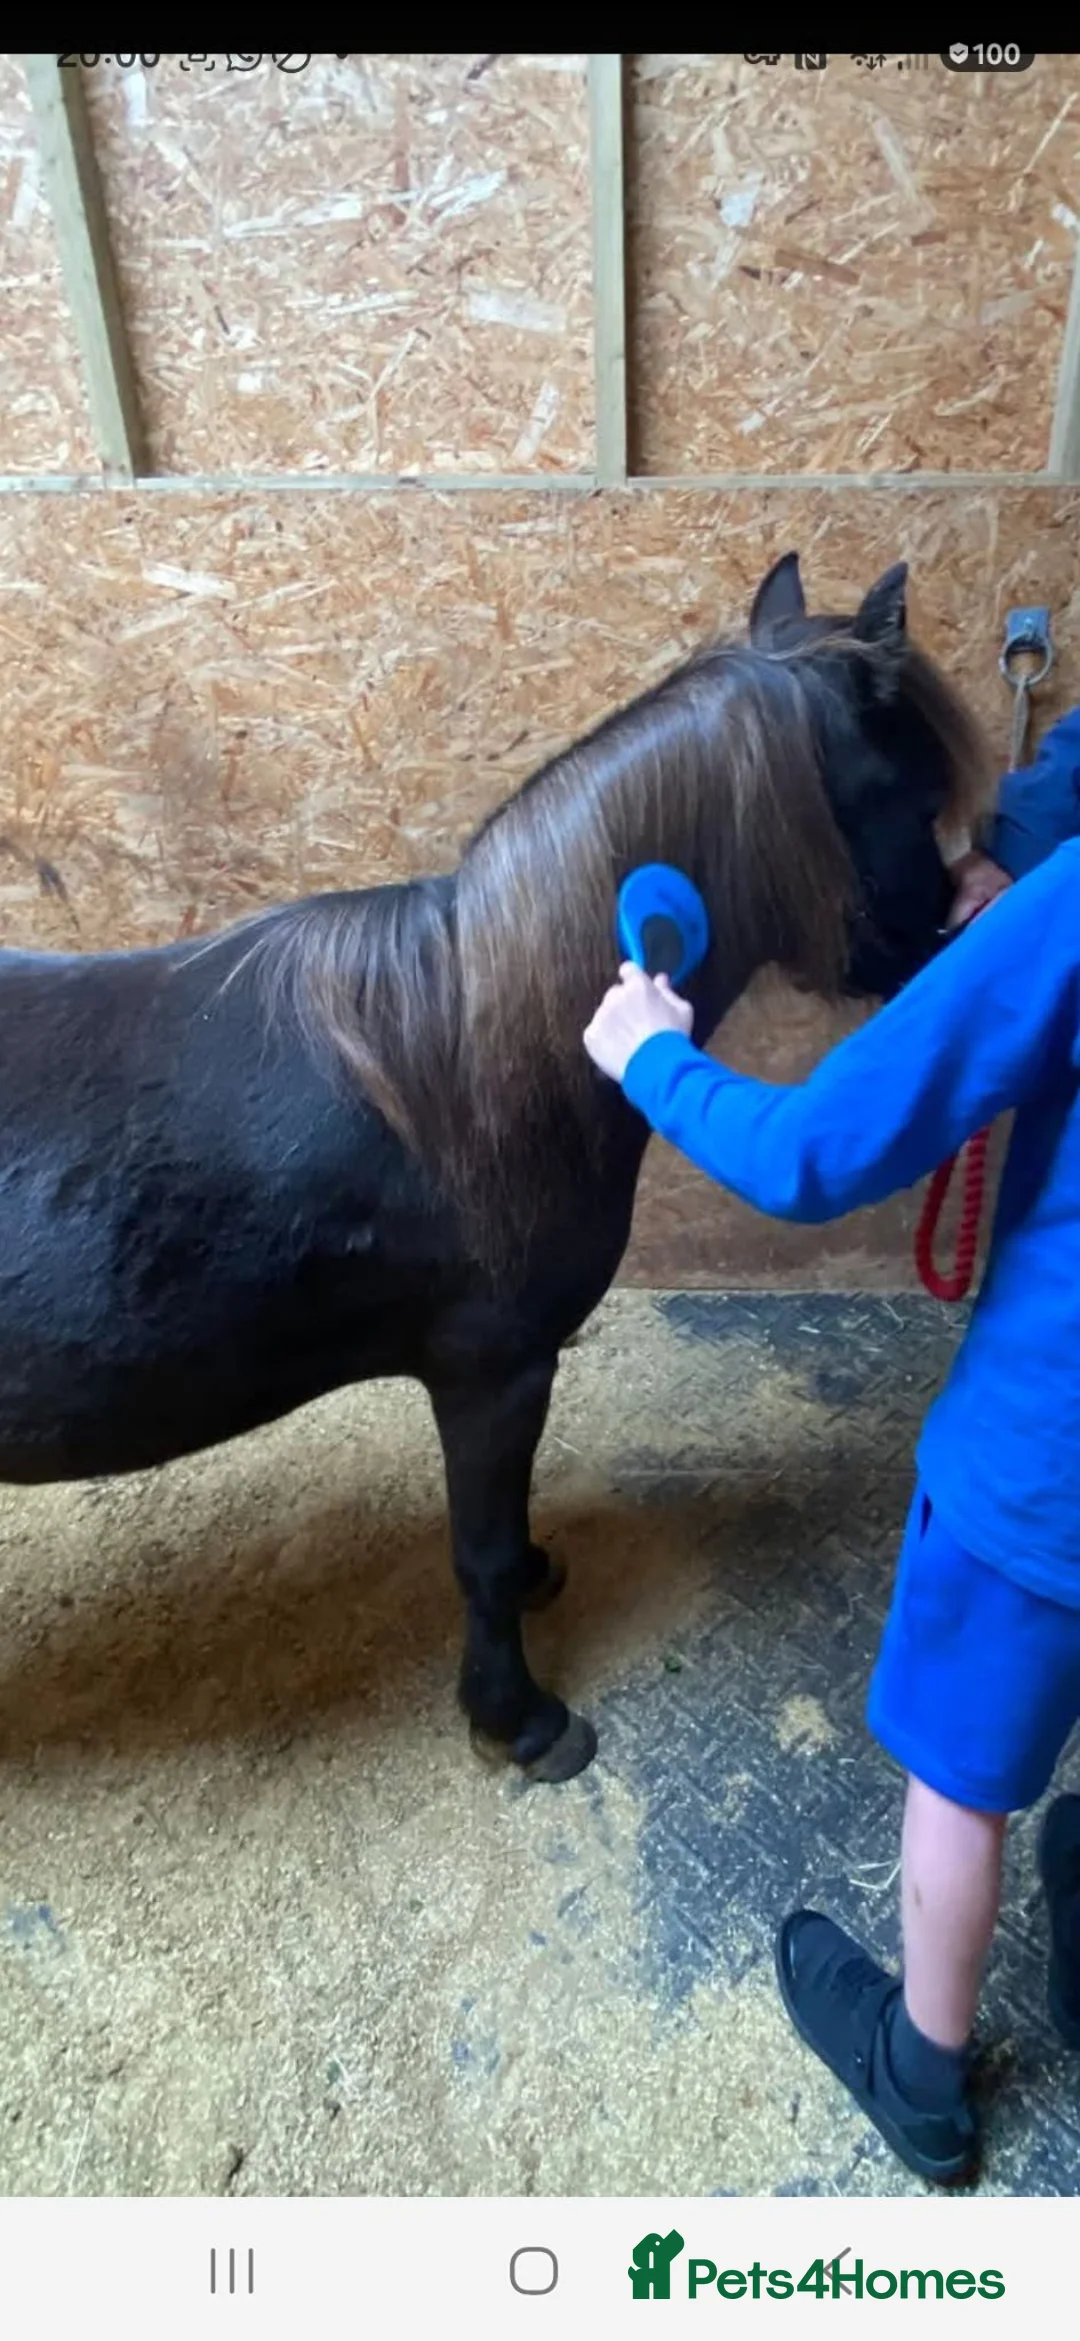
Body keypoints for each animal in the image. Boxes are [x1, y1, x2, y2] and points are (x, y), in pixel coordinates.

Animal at [0, 552, 986, 1781]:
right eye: (913, 791)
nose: (958, 929)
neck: (472, 1050)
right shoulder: (491, 1369)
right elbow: (473, 1547)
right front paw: (518, 1717)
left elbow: (502, 1536)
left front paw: (535, 1581)